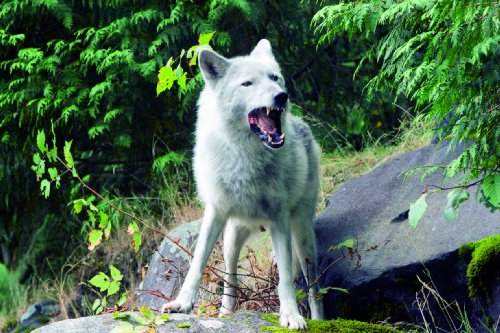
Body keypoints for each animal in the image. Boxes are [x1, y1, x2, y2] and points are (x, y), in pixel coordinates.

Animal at [161, 39, 324, 330]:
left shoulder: (279, 219)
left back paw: (318, 319)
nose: (281, 96)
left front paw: (291, 316)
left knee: (314, 287)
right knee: (231, 277)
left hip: (302, 236)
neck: (244, 156)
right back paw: (225, 314)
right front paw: (182, 303)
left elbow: (285, 279)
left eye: (274, 78)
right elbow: (197, 264)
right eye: (247, 83)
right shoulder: (214, 212)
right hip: (231, 238)